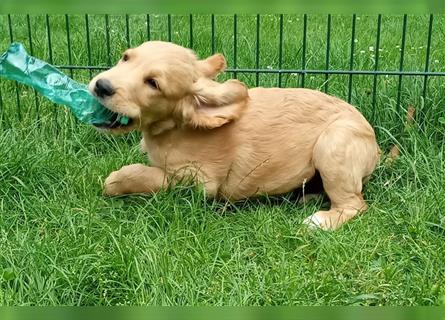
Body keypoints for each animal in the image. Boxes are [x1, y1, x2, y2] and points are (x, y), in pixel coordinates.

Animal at [88, 40, 380, 230]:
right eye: (126, 57)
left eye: (153, 83)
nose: (102, 86)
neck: (173, 129)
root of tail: (375, 144)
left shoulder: (197, 181)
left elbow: (149, 176)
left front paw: (118, 179)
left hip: (334, 146)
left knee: (354, 204)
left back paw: (320, 220)